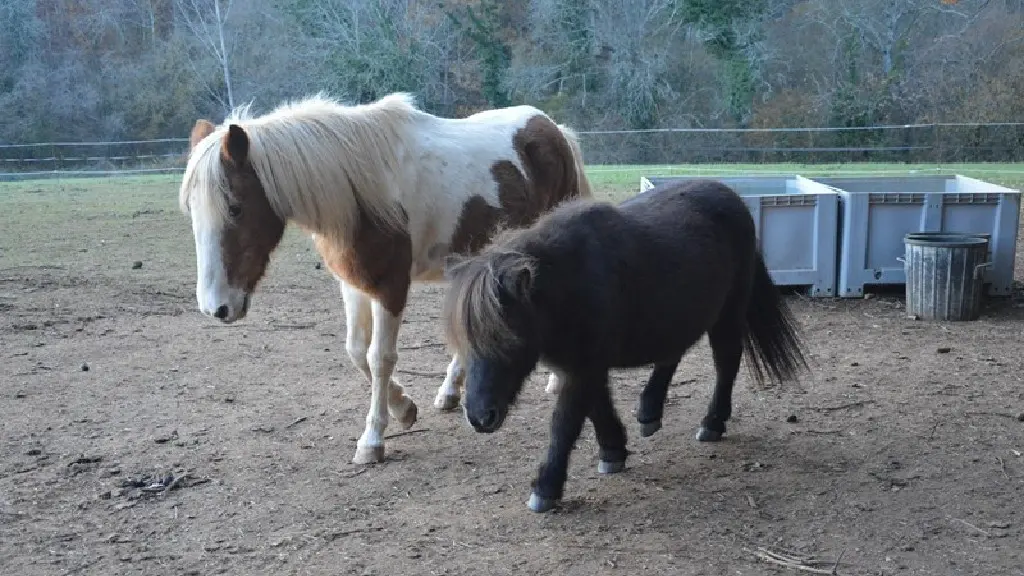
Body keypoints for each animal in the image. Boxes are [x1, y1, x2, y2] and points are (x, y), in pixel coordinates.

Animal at [180, 93, 589, 461]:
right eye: (192, 211)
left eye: (235, 208)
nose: (216, 307)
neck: (358, 192)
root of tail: (552, 128)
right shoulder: (353, 284)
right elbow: (356, 351)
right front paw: (405, 409)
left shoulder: (390, 288)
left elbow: (380, 358)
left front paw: (373, 439)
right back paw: (449, 392)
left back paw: (555, 378)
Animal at [440, 177, 806, 508]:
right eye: (463, 343)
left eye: (508, 339)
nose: (480, 417)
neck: (566, 285)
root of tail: (733, 197)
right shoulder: (583, 365)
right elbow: (597, 407)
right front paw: (613, 450)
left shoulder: (584, 366)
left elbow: (566, 422)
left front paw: (546, 488)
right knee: (672, 354)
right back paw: (649, 412)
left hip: (728, 314)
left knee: (726, 362)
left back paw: (712, 423)